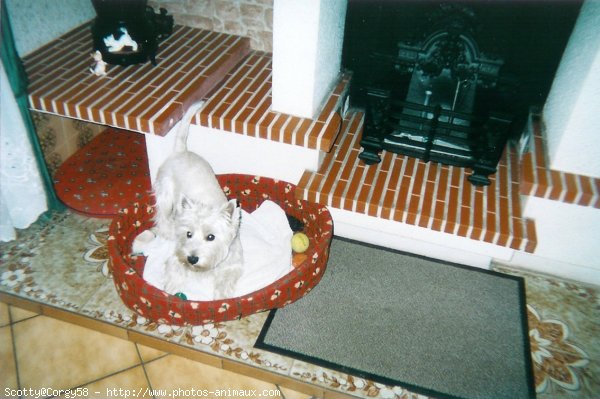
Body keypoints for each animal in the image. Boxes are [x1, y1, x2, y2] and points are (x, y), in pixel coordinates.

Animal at [152, 101, 244, 300]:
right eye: (188, 234)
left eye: (211, 237)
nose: (192, 258)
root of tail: (181, 151)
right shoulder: (178, 254)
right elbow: (174, 270)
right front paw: (170, 291)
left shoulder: (233, 263)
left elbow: (225, 280)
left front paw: (221, 298)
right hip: (166, 193)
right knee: (162, 216)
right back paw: (167, 231)